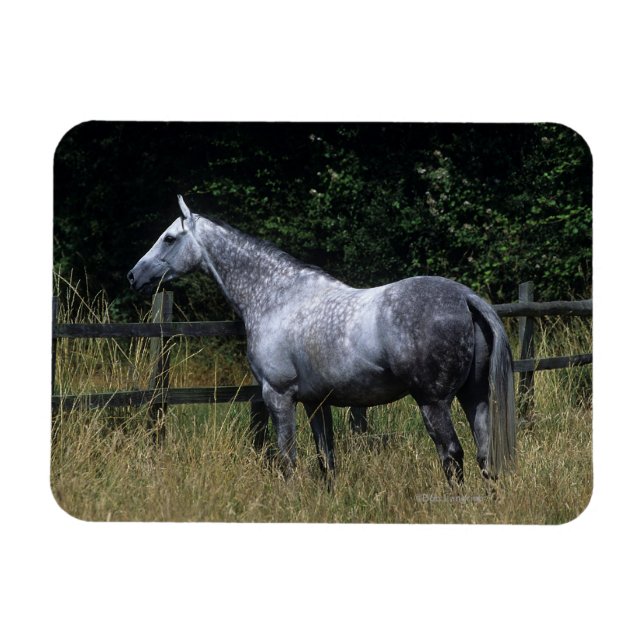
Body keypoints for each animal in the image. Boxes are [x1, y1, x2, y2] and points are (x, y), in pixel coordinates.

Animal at [128, 195, 516, 484]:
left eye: (169, 238)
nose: (134, 276)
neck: (277, 297)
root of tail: (464, 297)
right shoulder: (317, 402)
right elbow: (326, 460)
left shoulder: (279, 396)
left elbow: (288, 461)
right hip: (475, 398)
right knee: (484, 455)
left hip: (433, 402)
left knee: (452, 456)